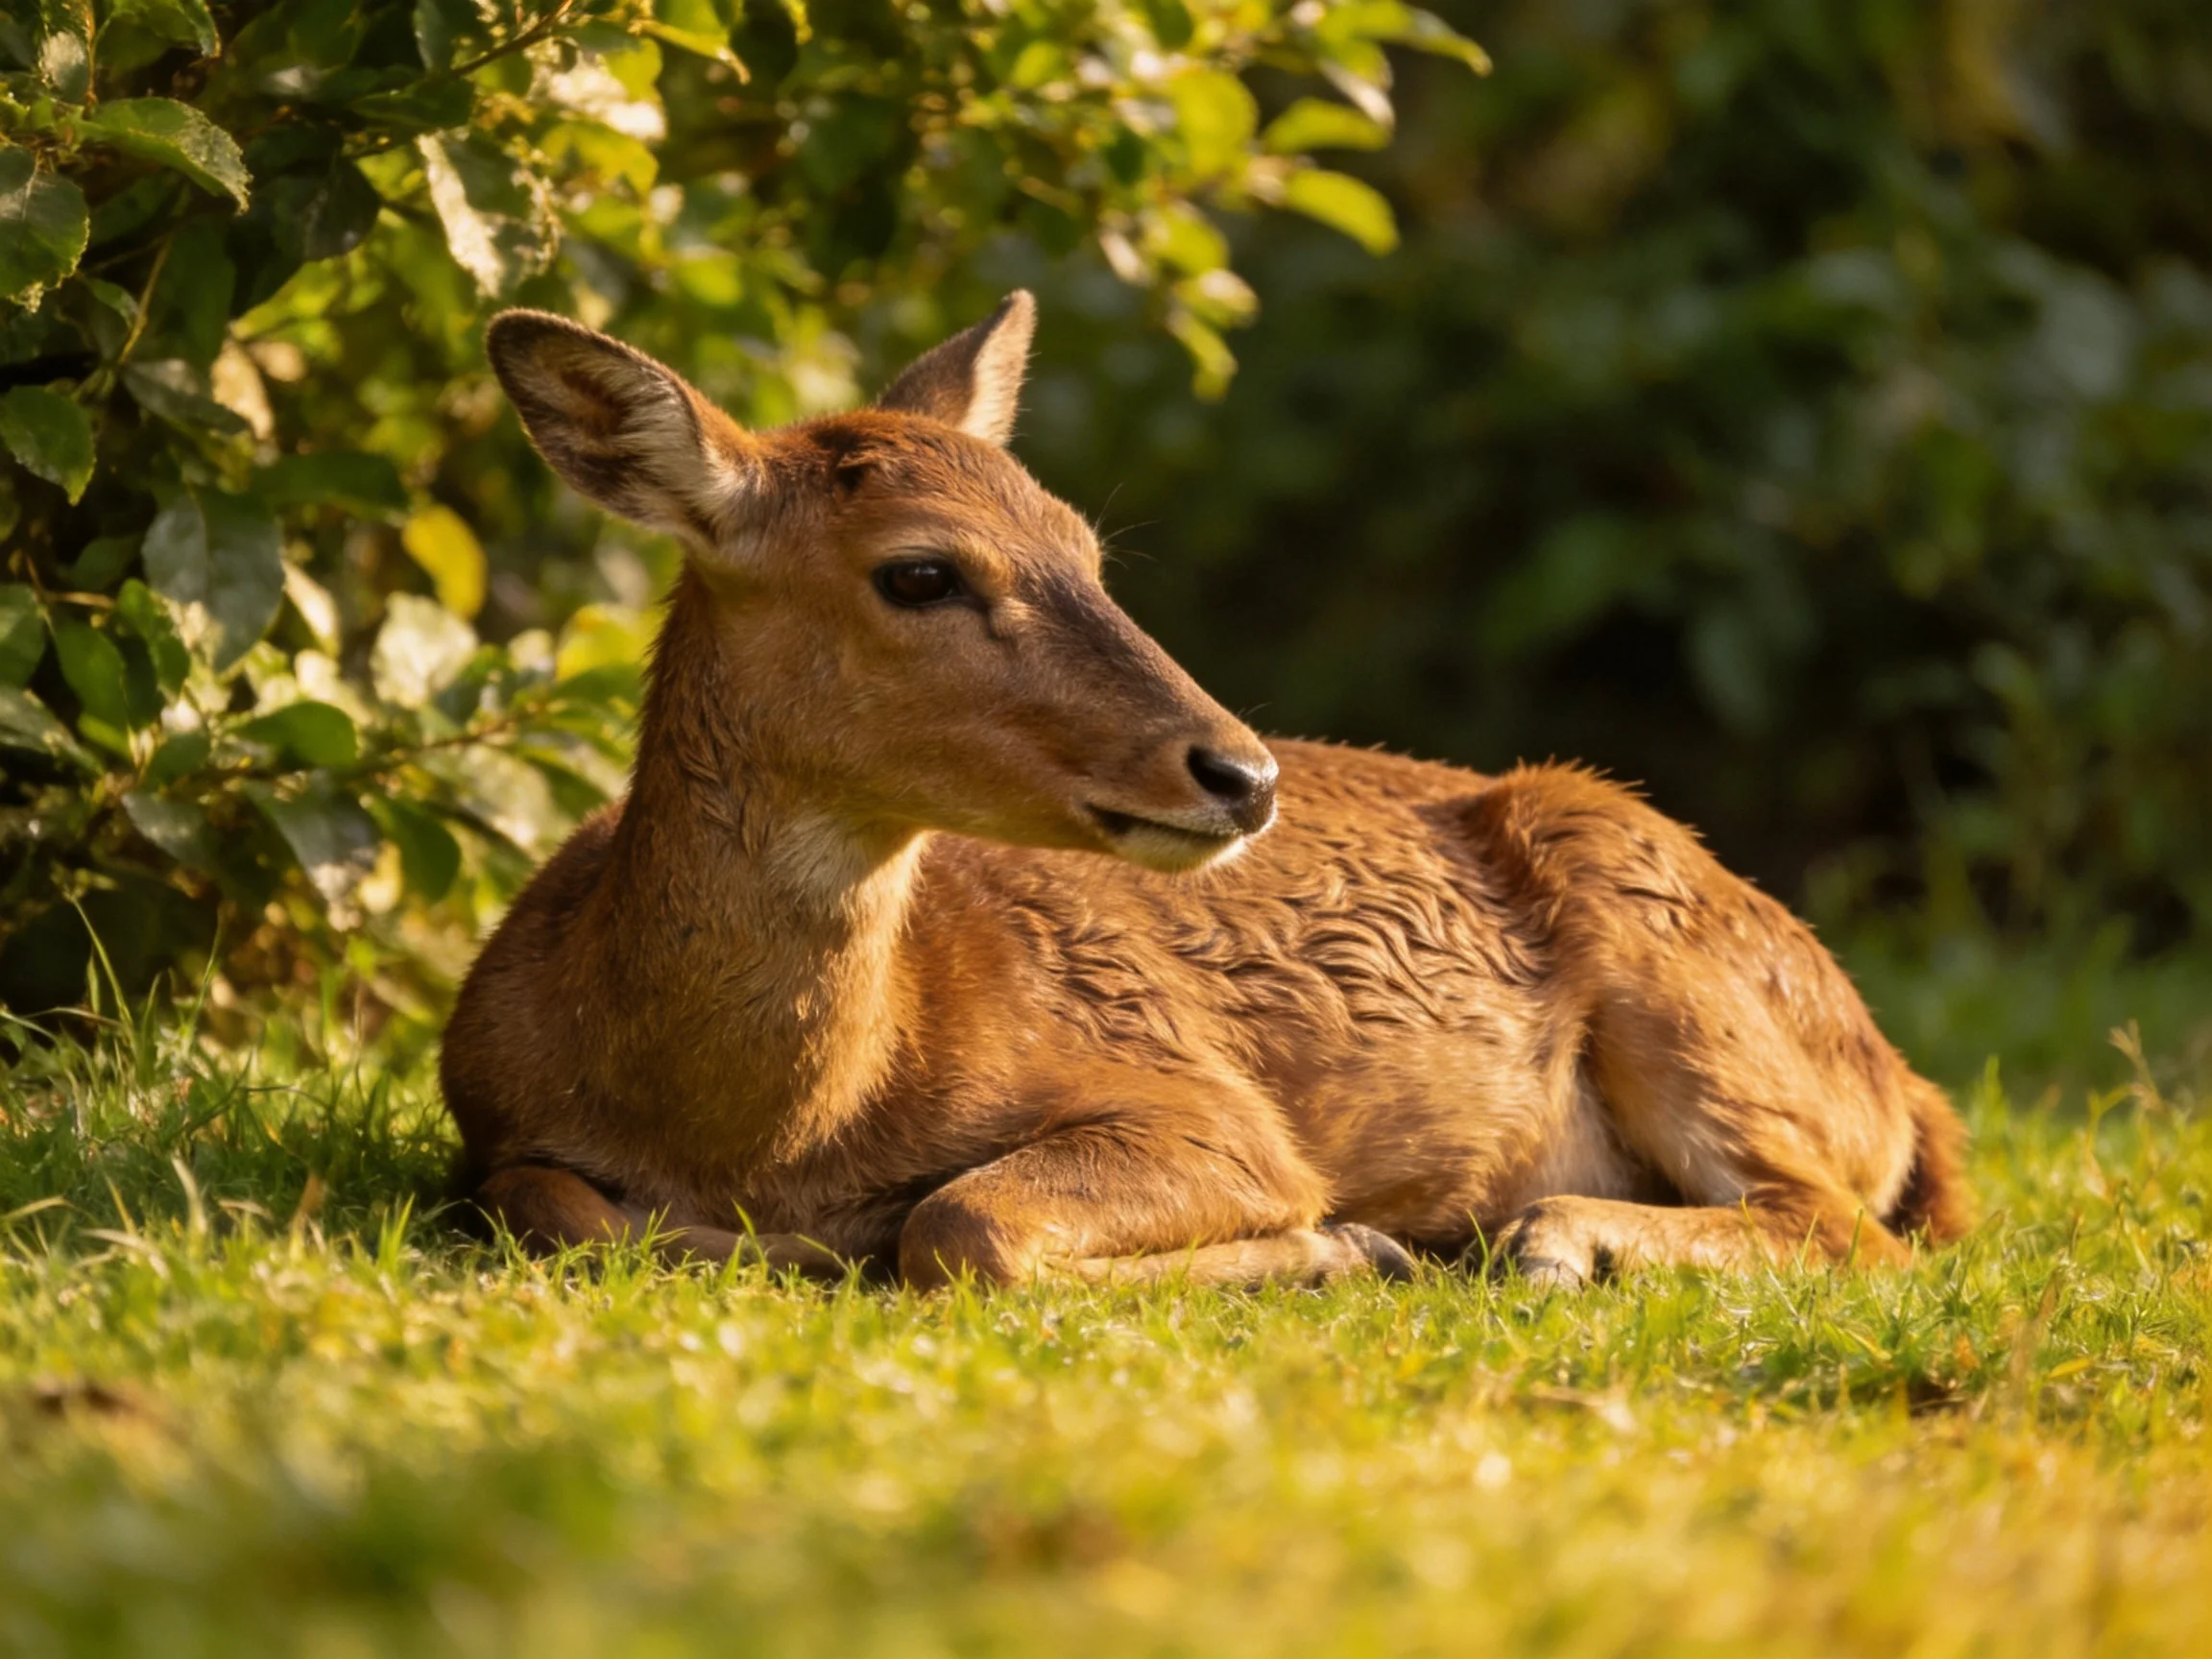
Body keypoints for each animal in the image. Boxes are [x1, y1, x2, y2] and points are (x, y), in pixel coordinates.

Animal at [440, 291, 1972, 1291]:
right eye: (920, 570)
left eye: (1085, 546)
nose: (1240, 770)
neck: (768, 1127)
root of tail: (1892, 1073)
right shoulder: (497, 1119)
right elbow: (546, 1203)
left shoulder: (1204, 1105)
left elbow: (966, 1229)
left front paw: (1342, 1241)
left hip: (1686, 968)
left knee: (1845, 1222)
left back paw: (1548, 1239)